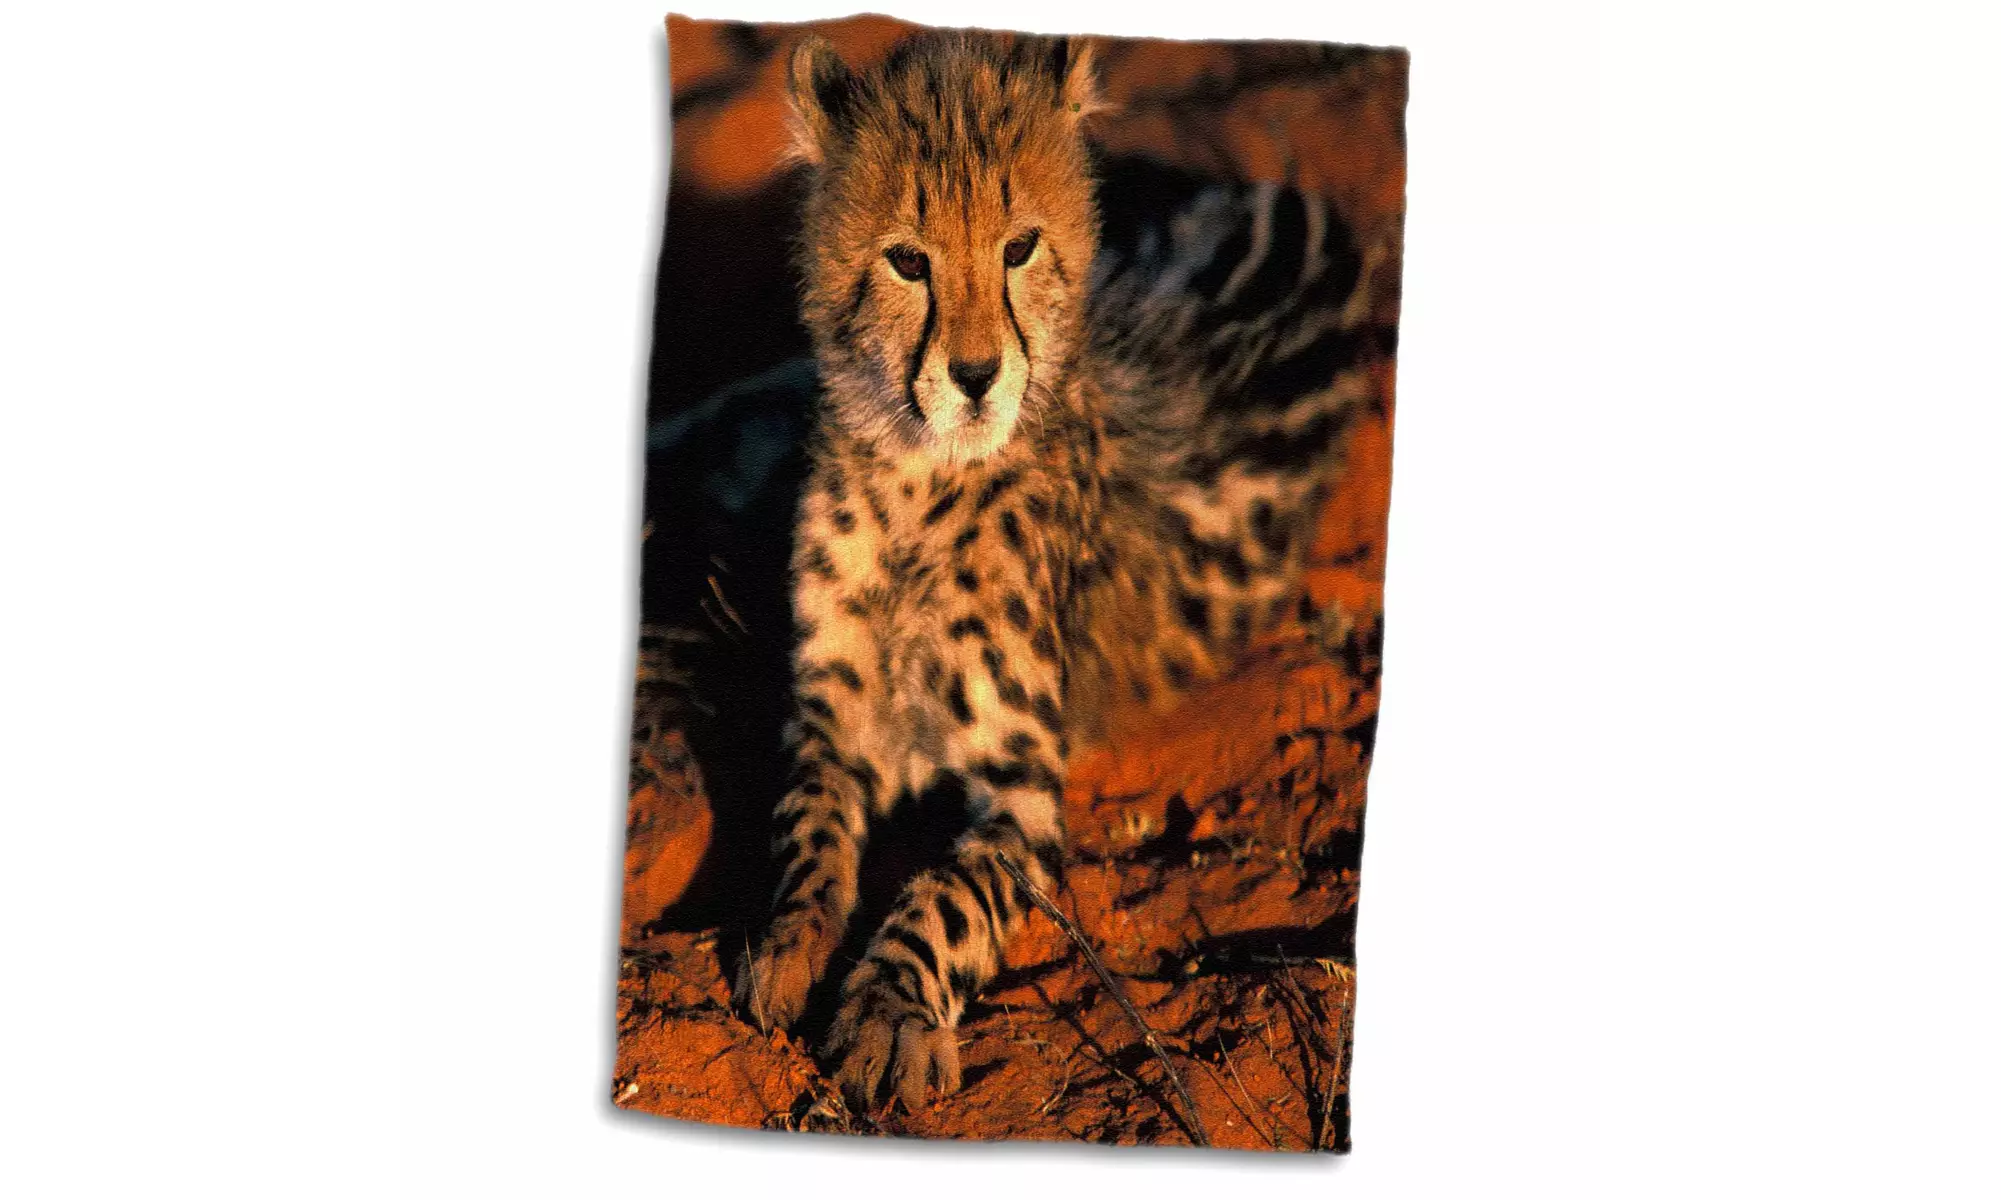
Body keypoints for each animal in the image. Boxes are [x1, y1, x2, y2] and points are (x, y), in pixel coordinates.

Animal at [729, 28, 1394, 1113]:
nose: (974, 375)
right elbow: (809, 827)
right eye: (906, 260)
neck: (917, 479)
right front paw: (788, 944)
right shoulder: (833, 720)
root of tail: (1293, 196)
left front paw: (889, 1012)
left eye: (1019, 248)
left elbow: (944, 896)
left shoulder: (1026, 787)